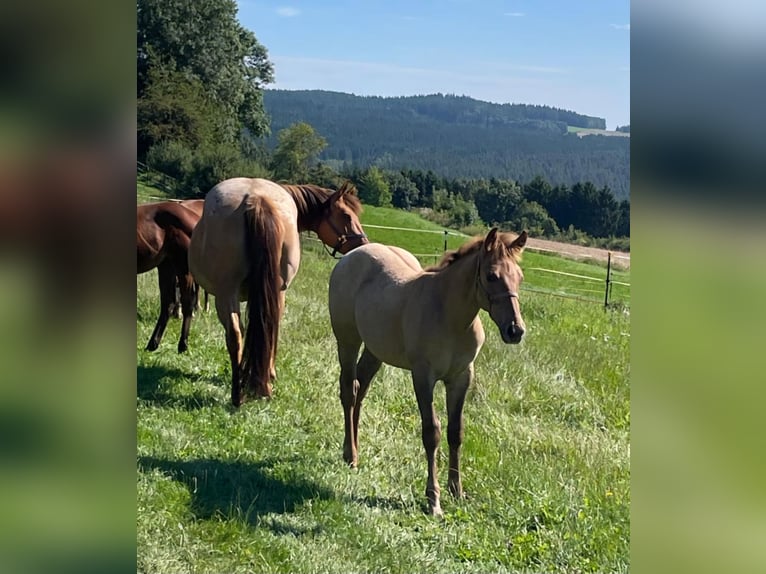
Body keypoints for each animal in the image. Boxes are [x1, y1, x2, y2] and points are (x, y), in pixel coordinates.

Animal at [137, 199, 205, 353]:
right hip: (166, 265)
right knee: (168, 303)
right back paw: (152, 344)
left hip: (182, 266)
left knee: (187, 303)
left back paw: (183, 345)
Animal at [188, 177, 368, 407]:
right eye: (346, 216)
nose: (364, 244)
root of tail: (256, 199)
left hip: (228, 294)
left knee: (238, 335)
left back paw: (240, 392)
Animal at [328, 227, 527, 516]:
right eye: (492, 275)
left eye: (519, 277)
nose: (515, 330)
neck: (449, 317)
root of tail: (351, 255)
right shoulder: (423, 377)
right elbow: (431, 432)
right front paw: (434, 500)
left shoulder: (461, 377)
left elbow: (456, 432)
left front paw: (457, 491)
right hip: (348, 341)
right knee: (348, 392)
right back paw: (350, 455)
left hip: (375, 350)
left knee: (360, 388)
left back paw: (356, 449)